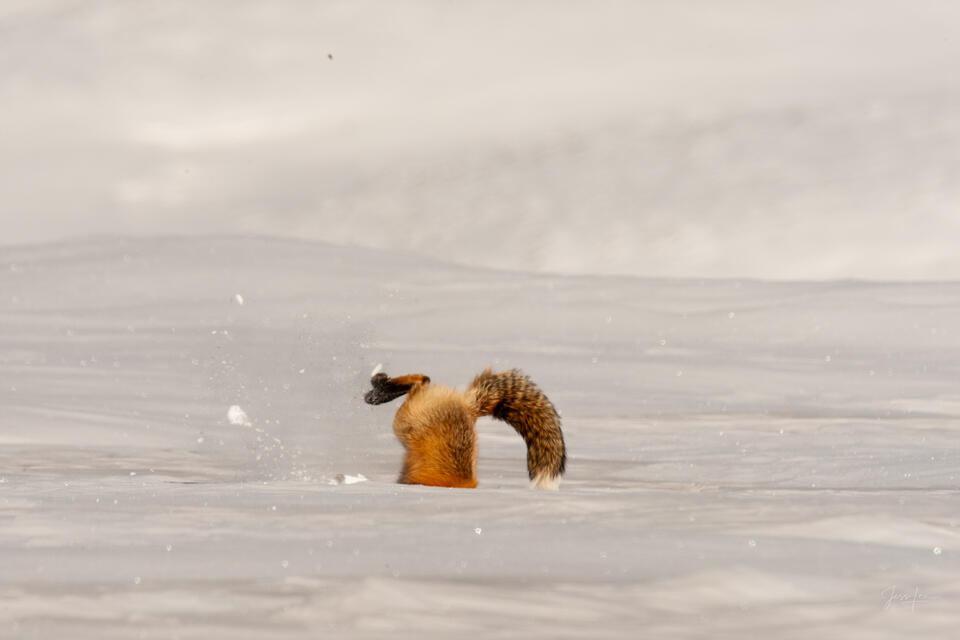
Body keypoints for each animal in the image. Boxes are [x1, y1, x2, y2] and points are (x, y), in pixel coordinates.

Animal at [364, 368, 566, 490]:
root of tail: (470, 407)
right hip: (403, 421)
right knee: (423, 380)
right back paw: (379, 389)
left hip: (404, 424)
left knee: (423, 380)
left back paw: (380, 387)